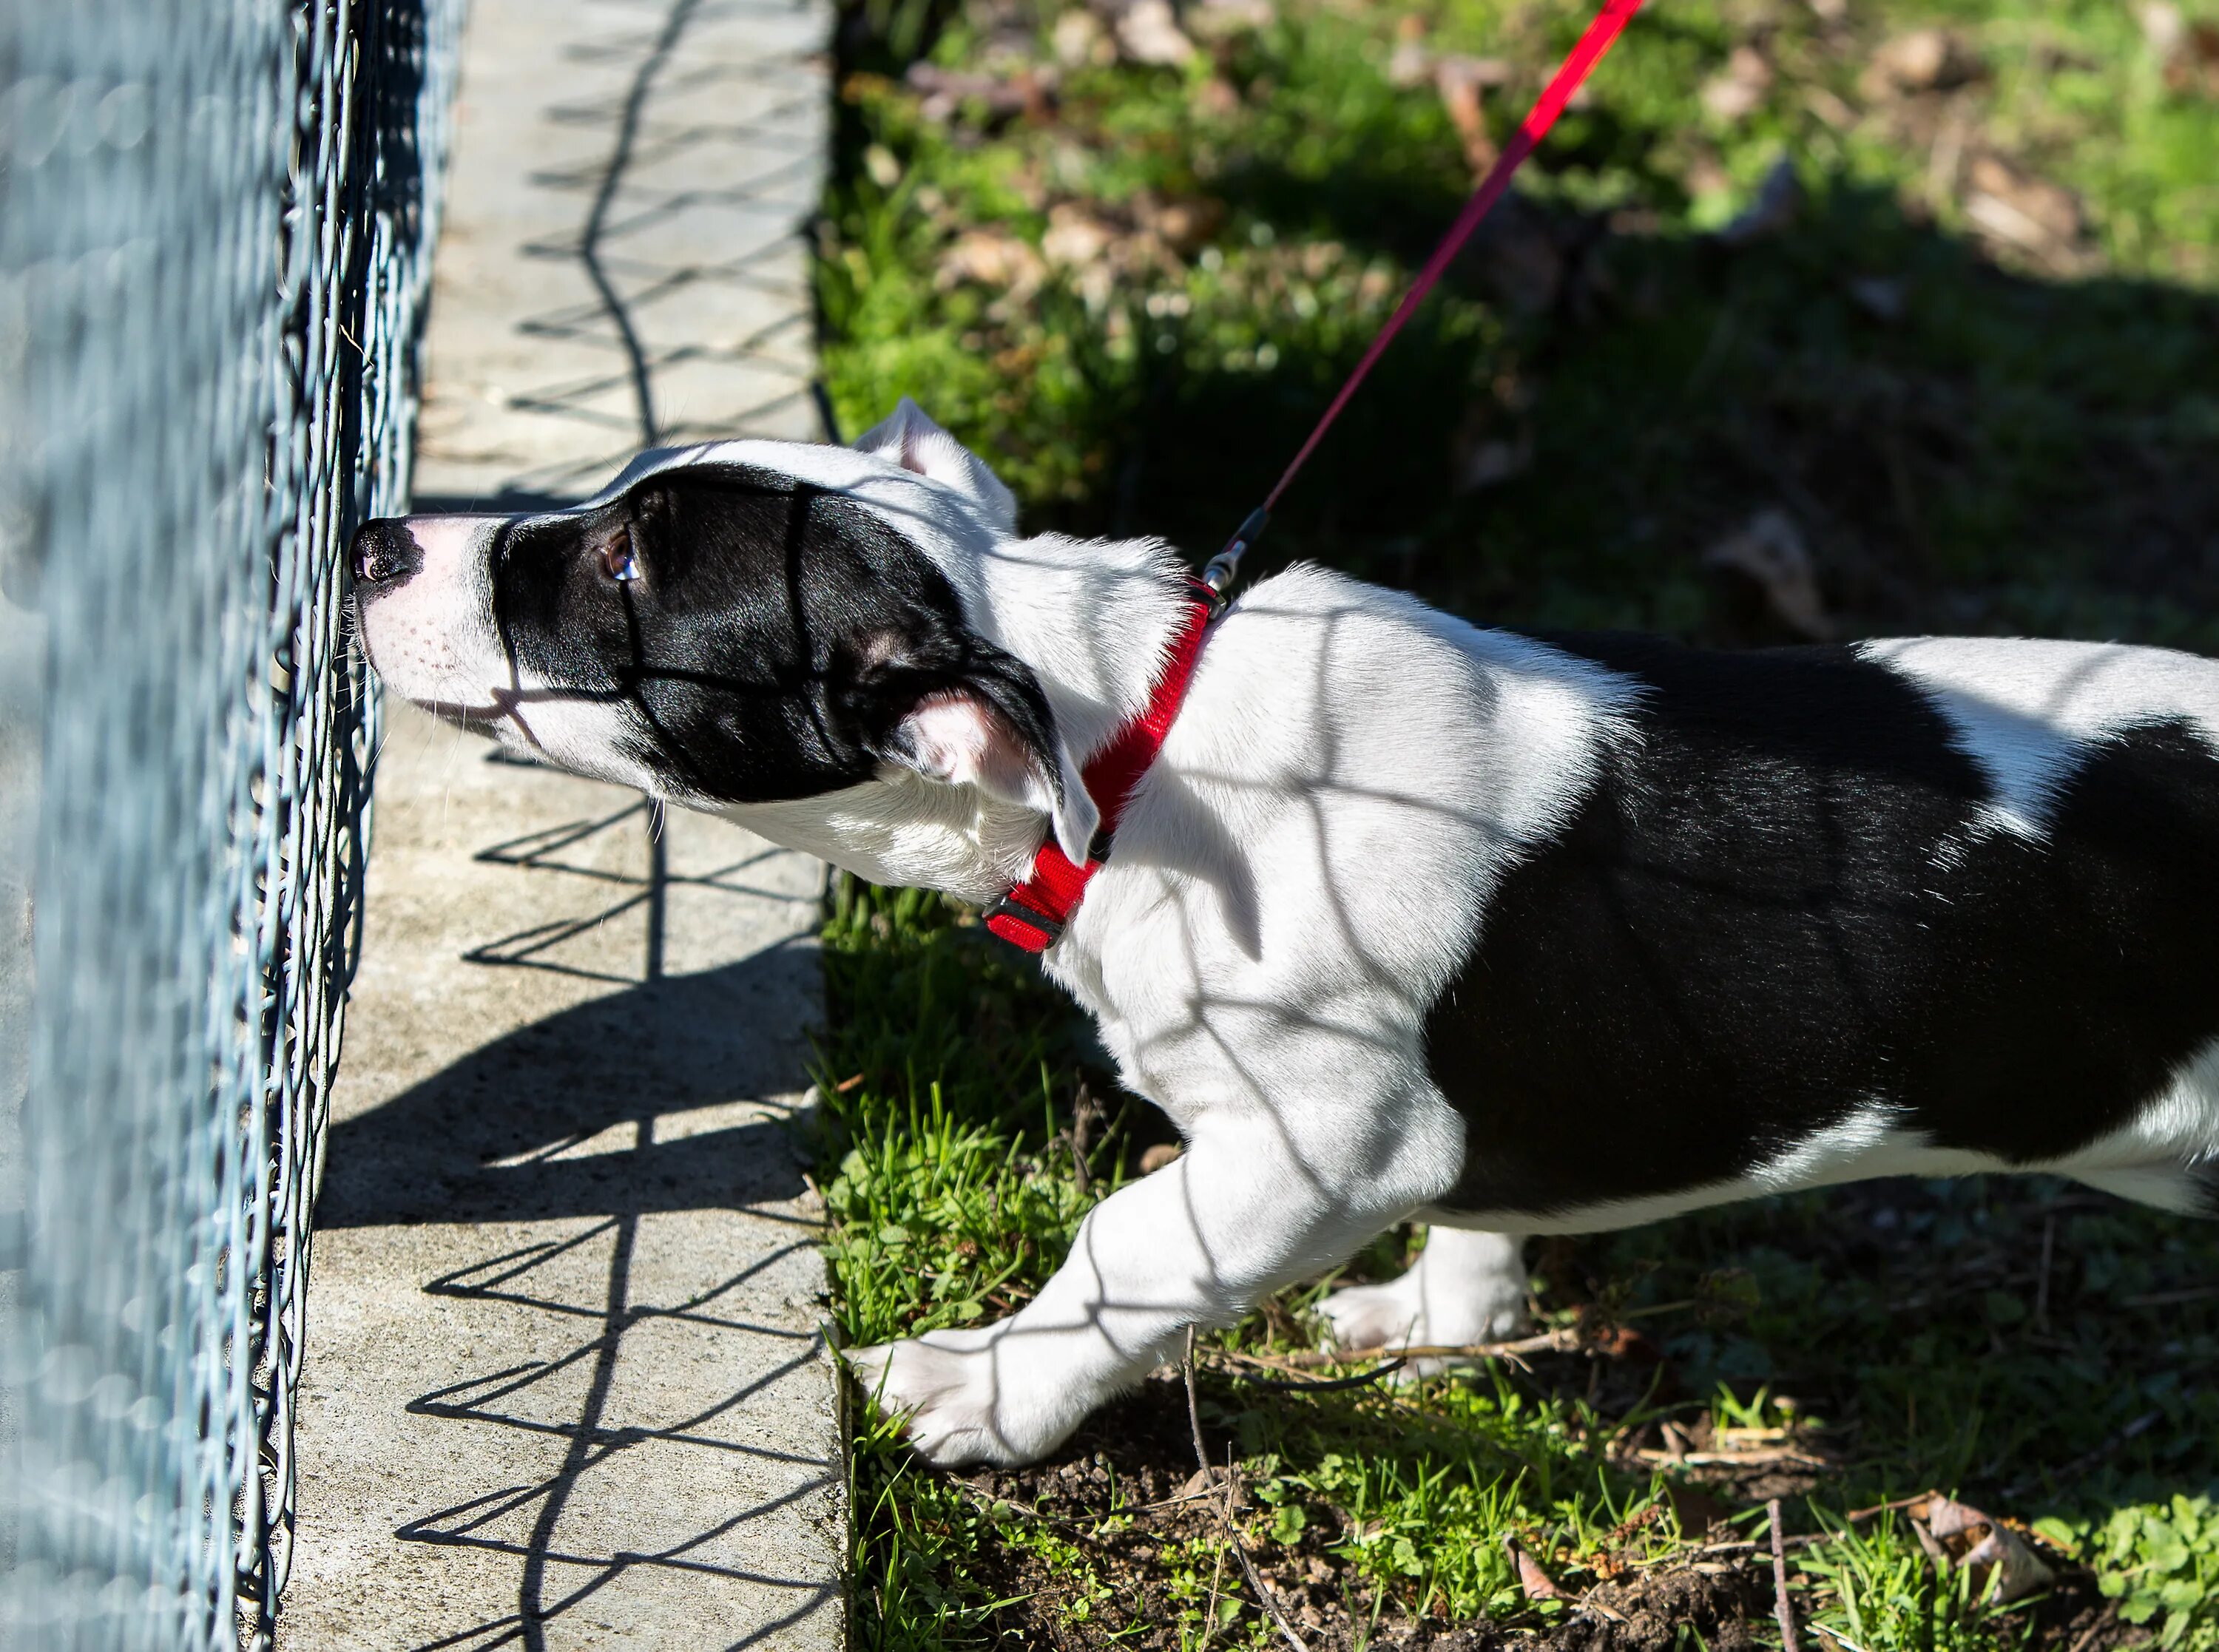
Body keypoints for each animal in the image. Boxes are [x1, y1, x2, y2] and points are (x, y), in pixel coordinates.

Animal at [351, 405, 2219, 1463]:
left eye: (621, 568)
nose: (372, 536)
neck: (1132, 726)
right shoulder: (1435, 1133)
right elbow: (1478, 1211)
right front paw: (1443, 1319)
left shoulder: (1316, 1142)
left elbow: (1122, 1248)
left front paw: (980, 1397)